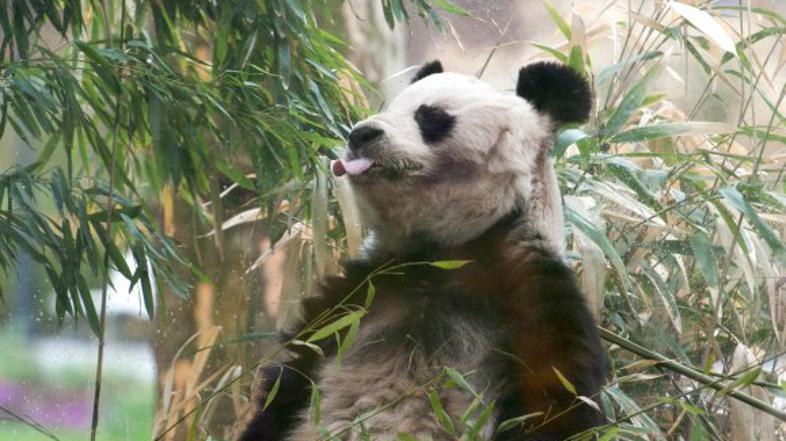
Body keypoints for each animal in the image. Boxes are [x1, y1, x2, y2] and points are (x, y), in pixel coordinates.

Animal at [240, 60, 605, 441]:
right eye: (391, 107)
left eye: (430, 116)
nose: (360, 134)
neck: (443, 251)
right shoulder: (357, 297)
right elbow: (288, 384)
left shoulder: (531, 296)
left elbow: (555, 404)